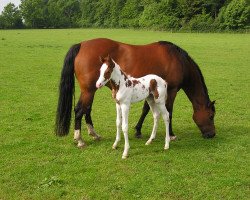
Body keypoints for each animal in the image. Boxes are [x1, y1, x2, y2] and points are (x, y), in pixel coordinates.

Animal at [55, 38, 216, 147]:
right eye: (211, 116)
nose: (212, 134)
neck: (178, 60)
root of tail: (81, 45)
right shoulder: (171, 90)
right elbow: (169, 112)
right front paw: (171, 135)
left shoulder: (151, 91)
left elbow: (145, 110)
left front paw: (138, 130)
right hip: (89, 91)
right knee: (79, 110)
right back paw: (80, 139)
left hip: (91, 90)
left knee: (86, 110)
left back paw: (94, 134)